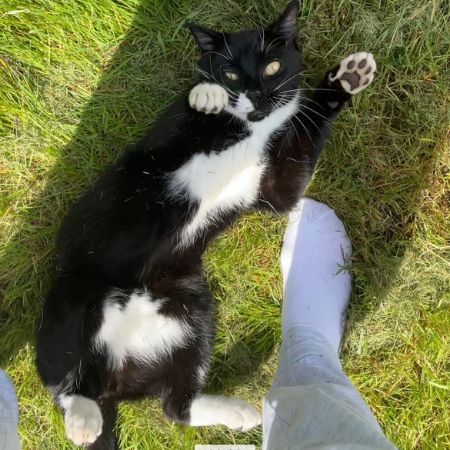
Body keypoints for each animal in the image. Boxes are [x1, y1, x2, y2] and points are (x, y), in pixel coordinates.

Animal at [35, 1, 376, 448]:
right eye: (230, 73)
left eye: (271, 66)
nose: (257, 96)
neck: (255, 125)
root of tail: (112, 372)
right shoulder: (159, 143)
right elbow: (189, 105)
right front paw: (208, 93)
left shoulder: (274, 189)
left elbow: (301, 141)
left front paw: (346, 81)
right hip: (71, 295)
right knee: (61, 377)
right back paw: (81, 417)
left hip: (190, 309)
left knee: (174, 406)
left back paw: (238, 413)